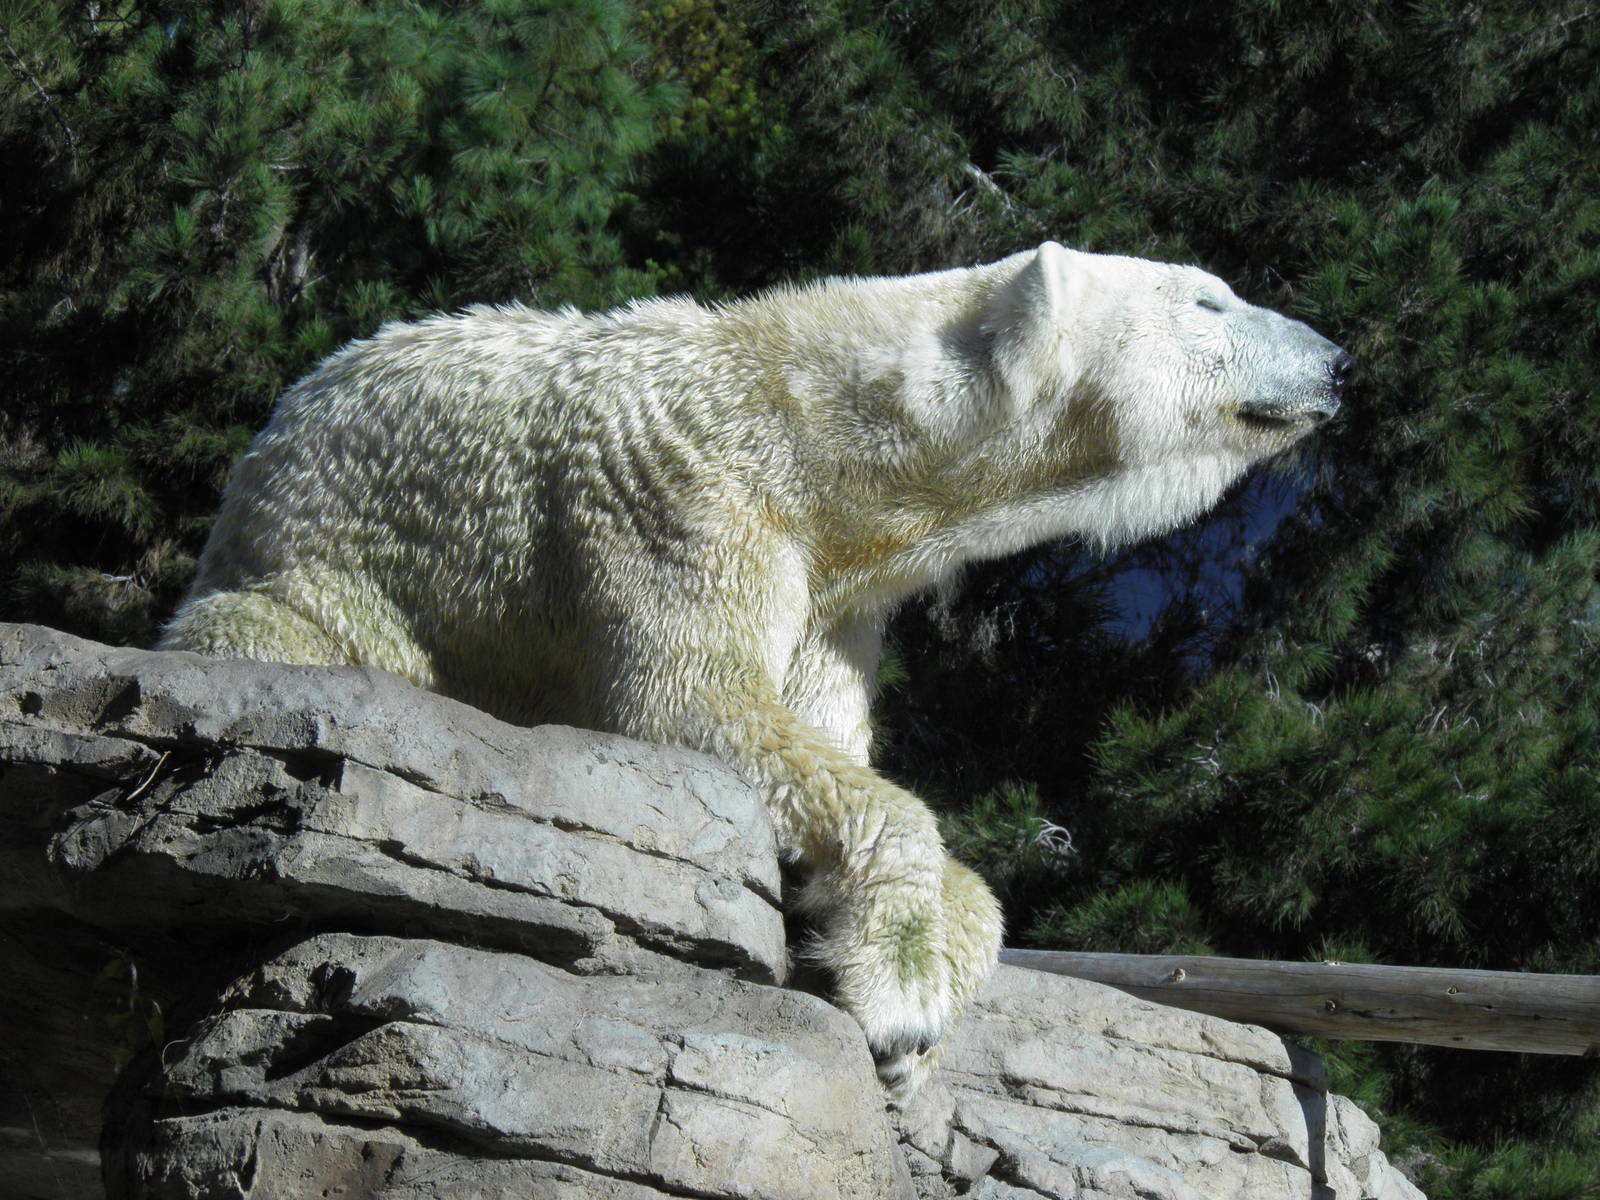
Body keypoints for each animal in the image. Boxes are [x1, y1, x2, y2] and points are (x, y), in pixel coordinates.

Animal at [159, 241, 1352, 1096]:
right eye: (1209, 301)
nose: (1339, 361)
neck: (816, 433)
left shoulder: (837, 593)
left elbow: (824, 729)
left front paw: (929, 975)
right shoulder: (684, 498)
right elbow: (688, 705)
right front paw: (900, 995)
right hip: (321, 567)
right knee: (274, 631)